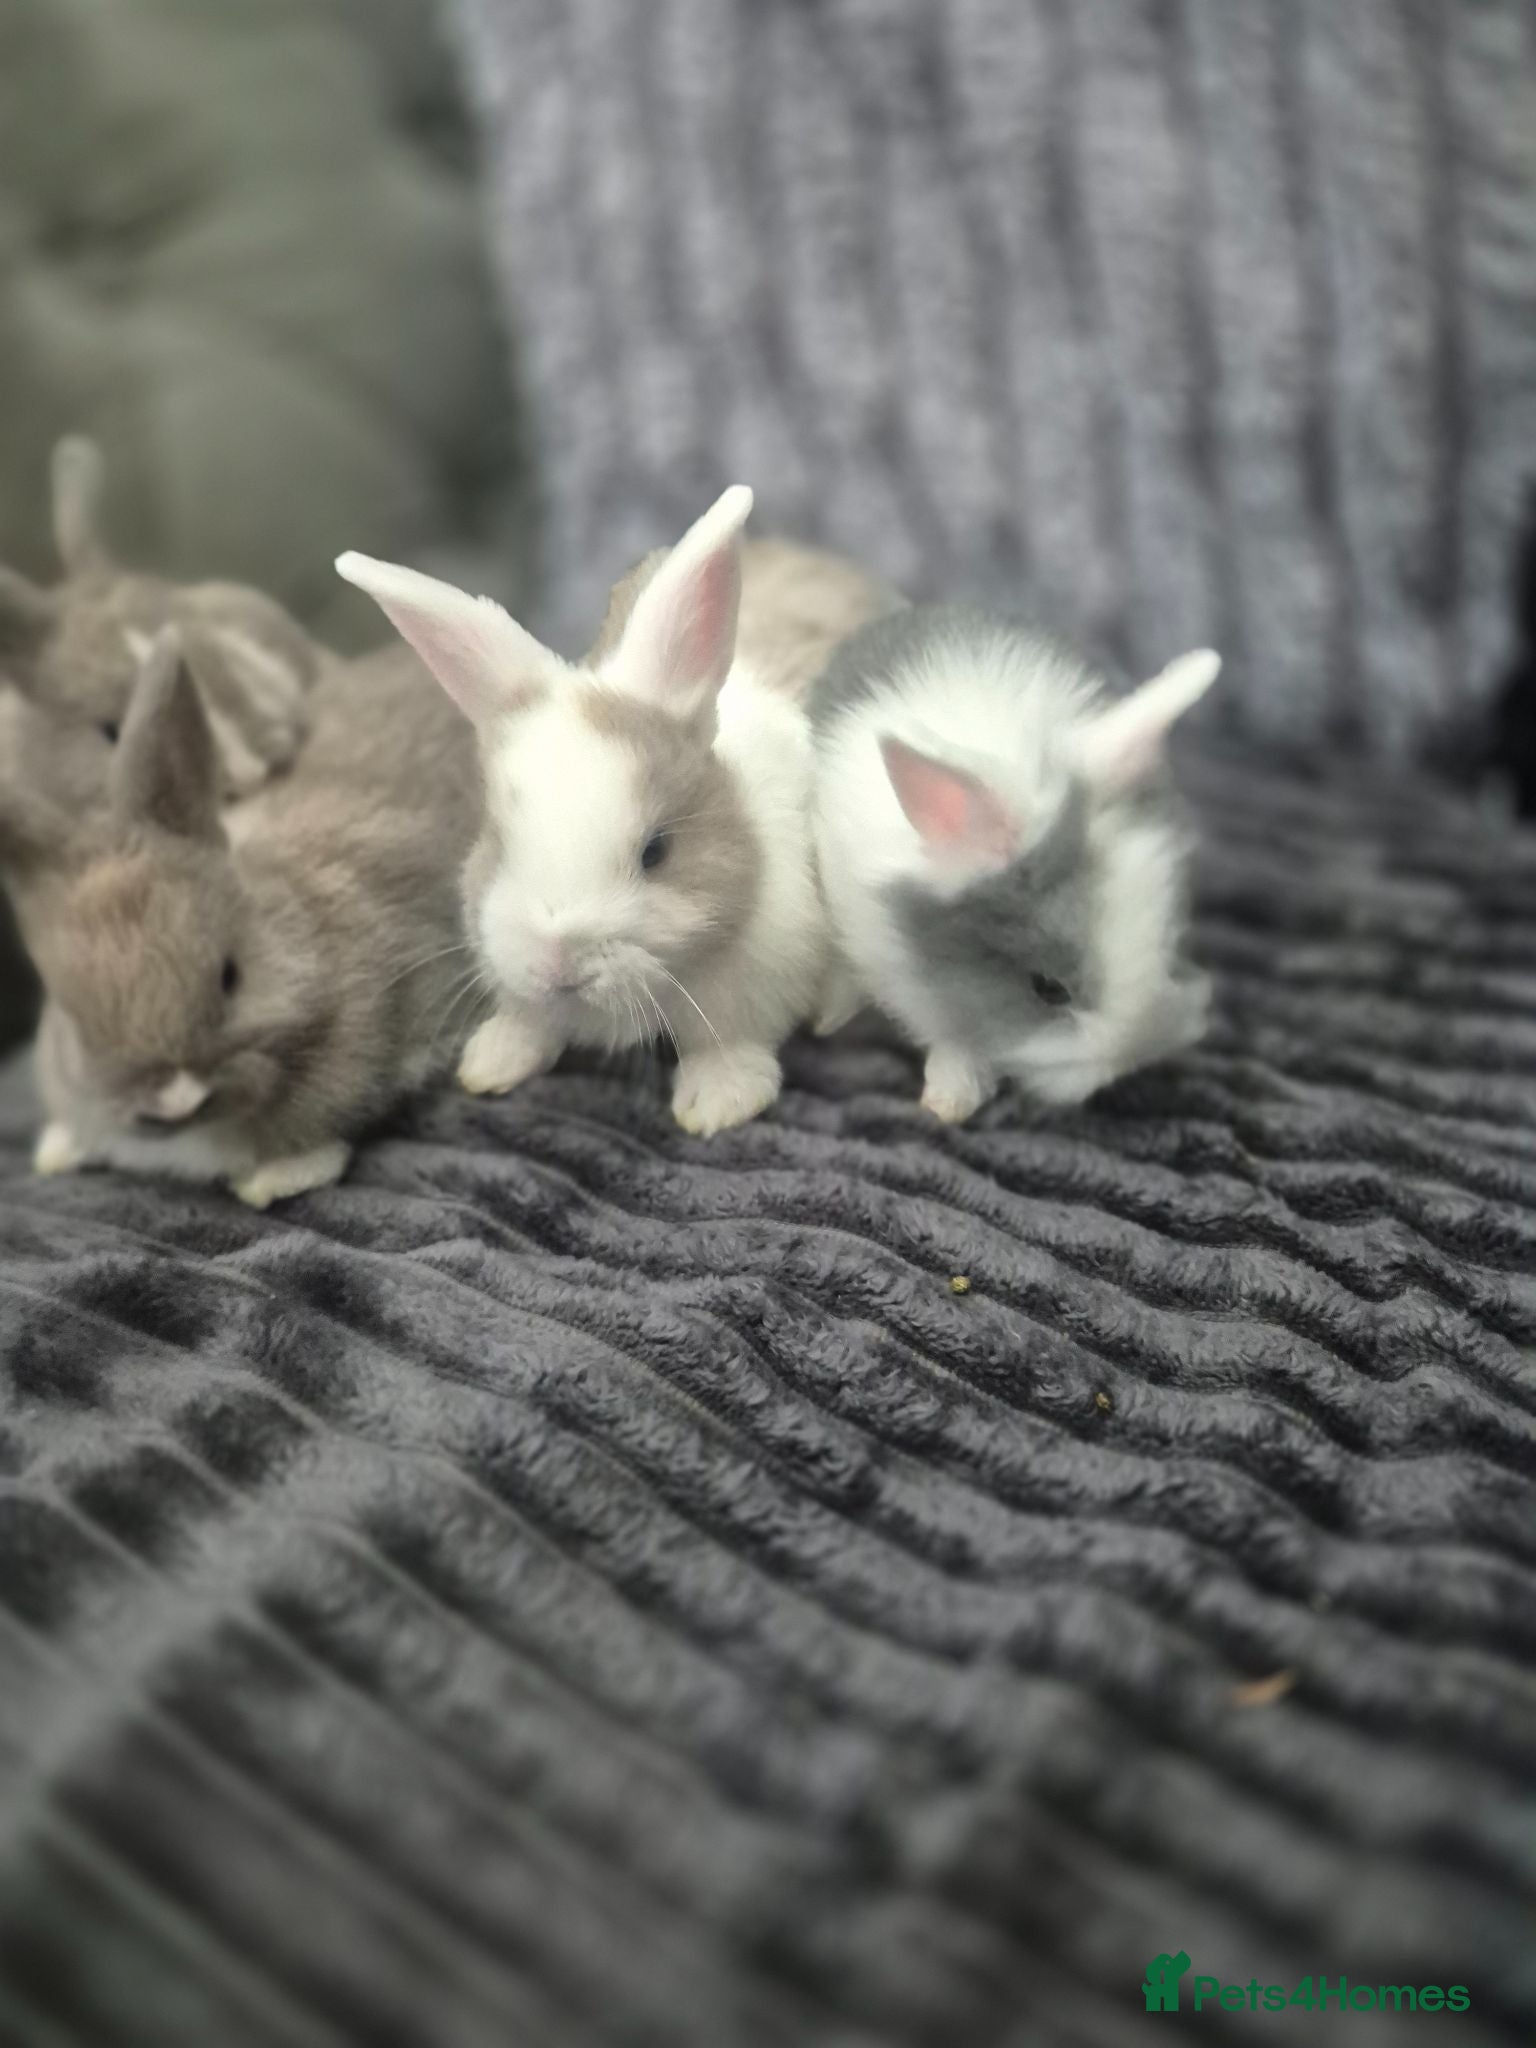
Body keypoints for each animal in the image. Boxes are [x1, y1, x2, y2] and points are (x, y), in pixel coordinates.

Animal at [337, 487, 892, 1135]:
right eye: (498, 842)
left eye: (657, 852)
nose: (559, 964)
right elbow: (530, 1022)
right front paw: (493, 1061)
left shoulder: (753, 979)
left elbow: (726, 1043)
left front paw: (719, 1103)